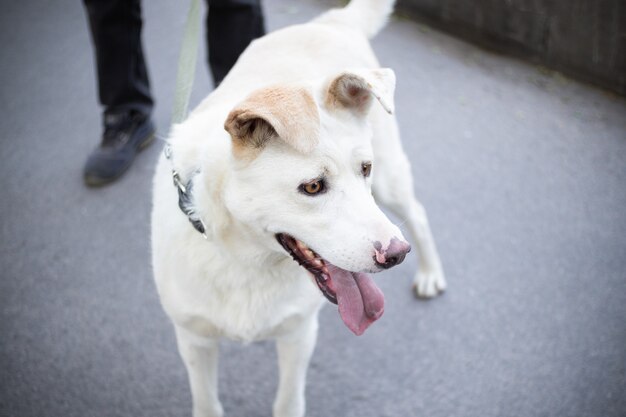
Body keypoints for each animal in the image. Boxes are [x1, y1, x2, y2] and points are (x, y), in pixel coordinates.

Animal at [151, 0, 444, 414]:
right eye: (313, 187)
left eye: (364, 169)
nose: (397, 255)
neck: (246, 261)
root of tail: (330, 23)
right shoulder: (194, 340)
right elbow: (207, 404)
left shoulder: (298, 335)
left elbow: (288, 403)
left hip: (390, 180)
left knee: (416, 213)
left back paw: (430, 273)